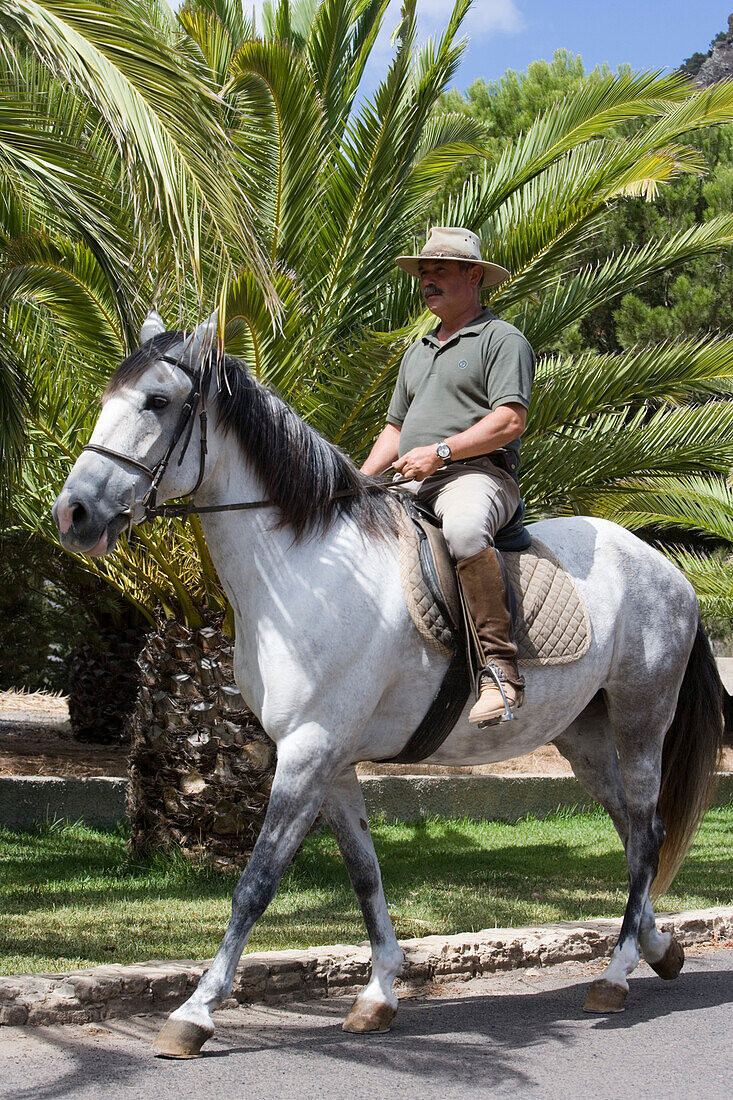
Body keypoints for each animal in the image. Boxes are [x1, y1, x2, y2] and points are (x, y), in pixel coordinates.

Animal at [54, 314, 721, 1051]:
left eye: (158, 401)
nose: (74, 514)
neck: (307, 567)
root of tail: (663, 566)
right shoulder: (331, 760)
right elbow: (364, 873)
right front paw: (377, 993)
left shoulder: (308, 752)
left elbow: (256, 883)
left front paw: (195, 1012)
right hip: (584, 738)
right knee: (633, 831)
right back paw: (658, 948)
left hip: (640, 720)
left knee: (647, 833)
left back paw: (616, 974)